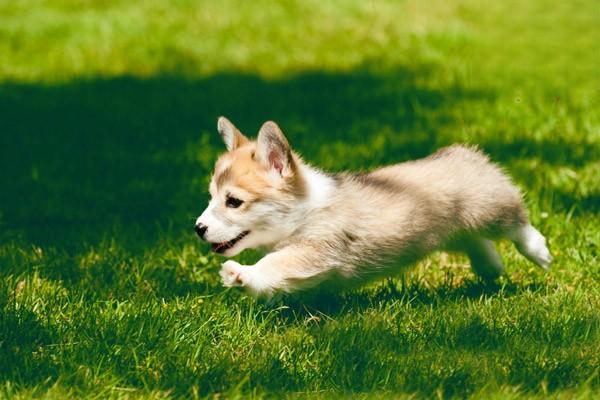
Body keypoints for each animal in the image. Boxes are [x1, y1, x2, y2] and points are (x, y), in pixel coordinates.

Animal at [195, 117, 552, 298]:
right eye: (211, 196)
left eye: (233, 202)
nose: (198, 229)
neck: (302, 211)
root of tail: (466, 153)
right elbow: (278, 279)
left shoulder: (316, 249)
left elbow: (274, 264)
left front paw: (239, 272)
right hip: (449, 229)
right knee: (475, 241)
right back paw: (490, 266)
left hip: (488, 208)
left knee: (516, 223)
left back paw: (539, 252)